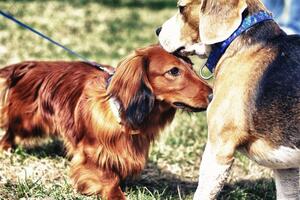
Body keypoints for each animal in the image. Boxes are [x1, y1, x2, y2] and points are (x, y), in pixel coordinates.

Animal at [0, 44, 211, 199]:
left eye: (192, 67)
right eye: (174, 71)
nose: (212, 95)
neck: (121, 114)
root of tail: (28, 66)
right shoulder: (90, 154)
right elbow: (108, 179)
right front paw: (115, 193)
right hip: (26, 121)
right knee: (9, 128)